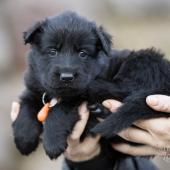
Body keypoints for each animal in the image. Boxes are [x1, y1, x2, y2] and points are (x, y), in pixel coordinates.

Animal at [12, 11, 170, 160]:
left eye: (83, 53)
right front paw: (24, 139)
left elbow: (59, 110)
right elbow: (26, 106)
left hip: (143, 62)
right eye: (52, 51)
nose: (67, 77)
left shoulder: (75, 95)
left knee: (125, 90)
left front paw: (52, 142)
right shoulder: (34, 87)